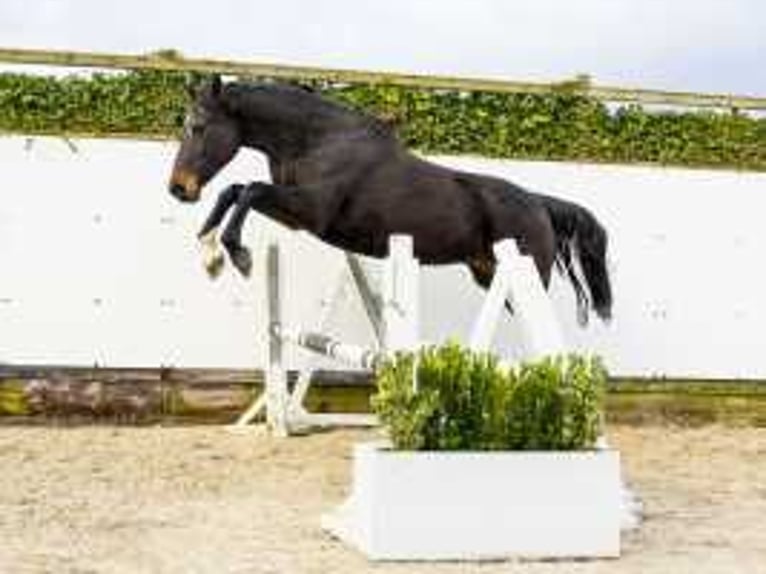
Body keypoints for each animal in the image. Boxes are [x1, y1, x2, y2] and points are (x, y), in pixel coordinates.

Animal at [168, 76, 612, 326]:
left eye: (198, 127)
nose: (178, 188)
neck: (316, 141)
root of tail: (538, 204)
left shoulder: (310, 213)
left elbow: (251, 190)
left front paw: (236, 255)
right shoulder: (295, 214)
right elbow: (234, 190)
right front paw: (210, 254)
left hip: (525, 274)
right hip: (488, 275)